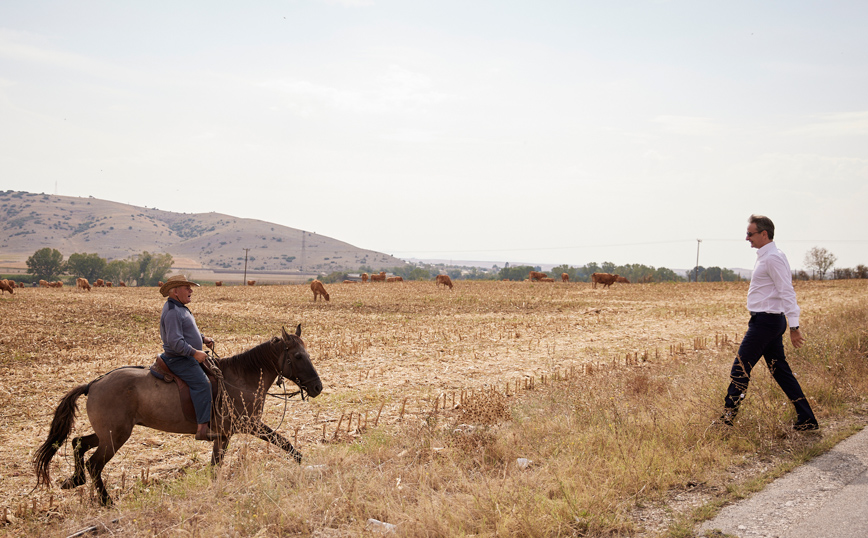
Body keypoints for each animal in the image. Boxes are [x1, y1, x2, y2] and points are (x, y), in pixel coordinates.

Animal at [34, 324, 322, 504]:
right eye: (298, 356)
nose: (318, 387)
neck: (240, 379)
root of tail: (94, 384)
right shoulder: (247, 425)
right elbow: (284, 442)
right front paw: (303, 465)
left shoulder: (224, 435)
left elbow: (216, 466)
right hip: (115, 437)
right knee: (95, 464)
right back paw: (106, 502)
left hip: (108, 433)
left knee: (77, 442)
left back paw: (74, 480)